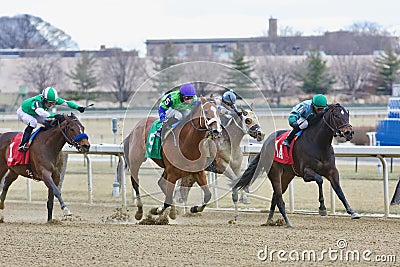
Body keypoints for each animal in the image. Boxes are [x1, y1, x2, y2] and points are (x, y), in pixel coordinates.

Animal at [231, 104, 360, 228]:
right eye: (337, 116)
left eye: (347, 115)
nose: (349, 132)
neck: (319, 144)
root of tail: (265, 144)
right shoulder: (305, 173)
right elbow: (320, 180)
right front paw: (322, 208)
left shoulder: (332, 171)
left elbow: (339, 190)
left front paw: (352, 211)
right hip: (274, 172)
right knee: (279, 198)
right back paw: (287, 222)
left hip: (287, 175)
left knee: (275, 197)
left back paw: (269, 221)